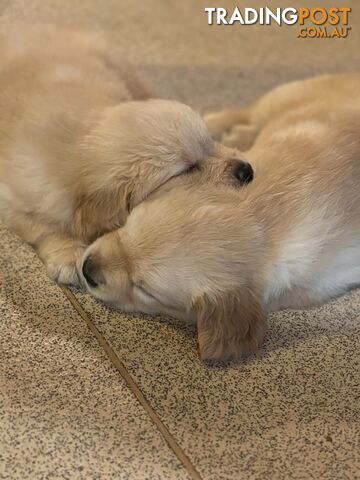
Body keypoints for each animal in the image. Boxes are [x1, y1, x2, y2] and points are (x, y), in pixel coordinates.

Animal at [0, 23, 253, 284]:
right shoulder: (13, 197)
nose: (247, 170)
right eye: (188, 169)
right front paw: (68, 254)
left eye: (210, 143)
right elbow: (41, 226)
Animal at [79, 74, 360, 360]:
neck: (271, 214)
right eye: (126, 227)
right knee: (241, 112)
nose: (86, 269)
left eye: (143, 289)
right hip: (282, 97)